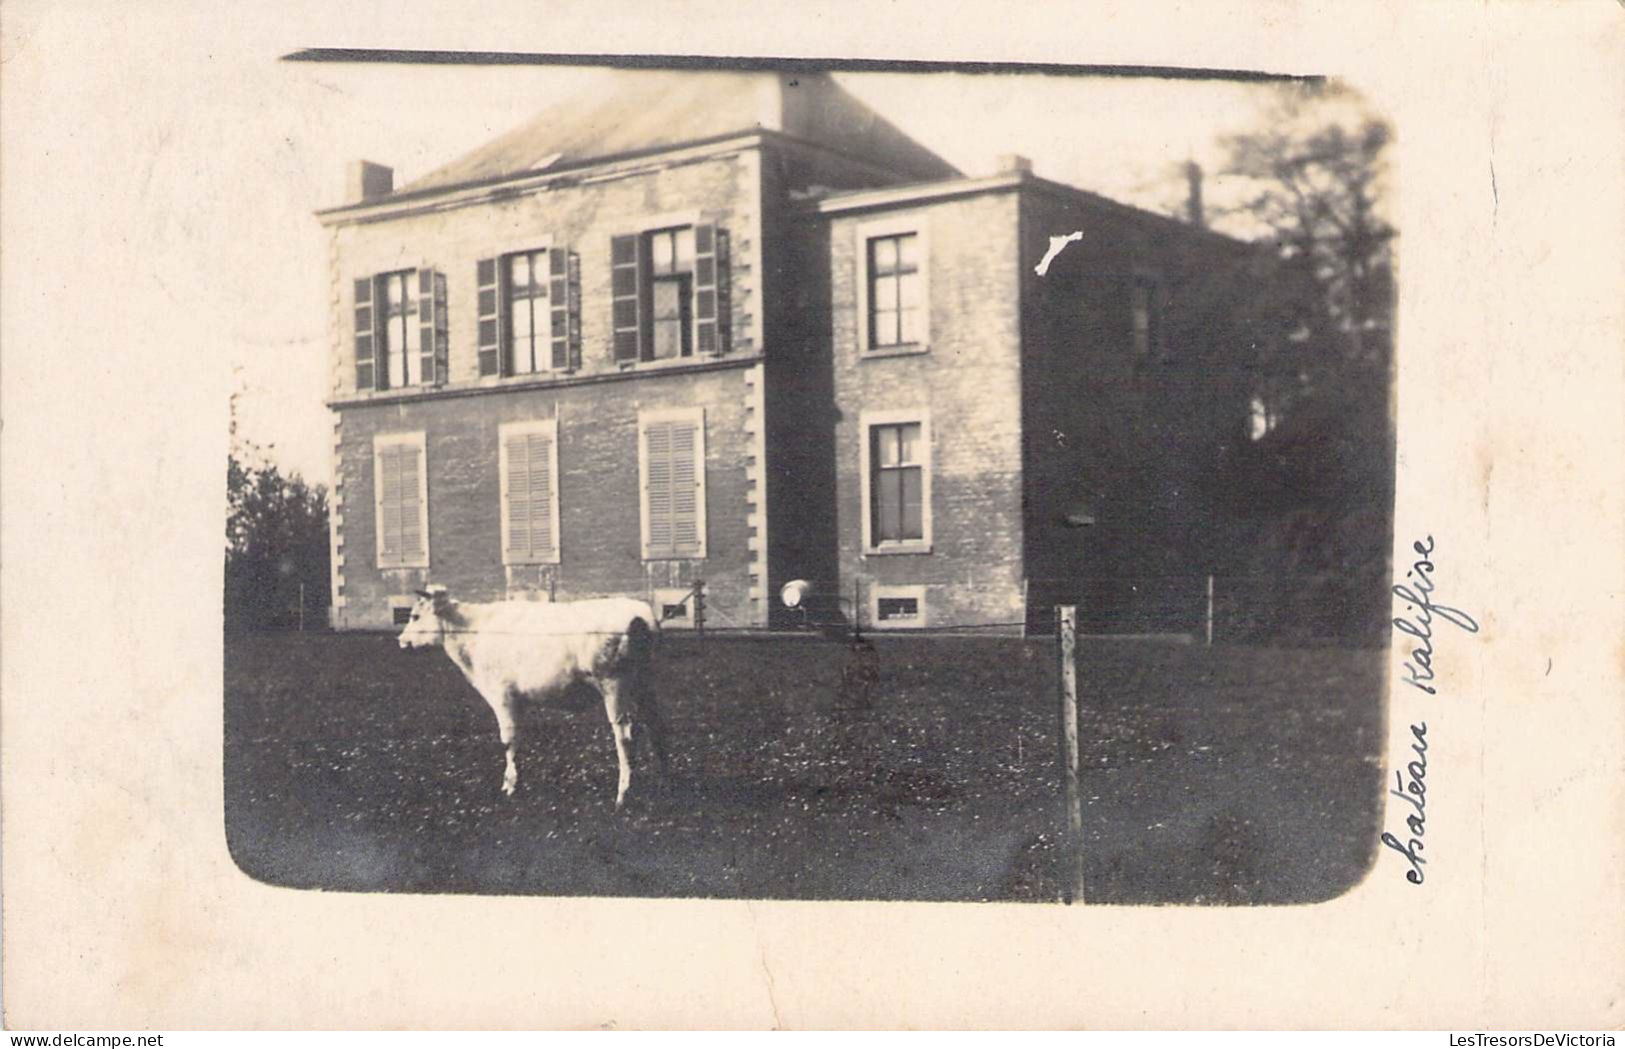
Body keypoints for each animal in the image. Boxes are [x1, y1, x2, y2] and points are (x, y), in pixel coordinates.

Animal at [398, 587, 666, 808]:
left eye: (415, 616)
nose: (400, 640)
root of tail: (638, 612)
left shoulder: (502, 695)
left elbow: (507, 740)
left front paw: (509, 785)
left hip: (614, 685)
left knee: (625, 736)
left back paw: (623, 794)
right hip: (645, 682)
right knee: (655, 725)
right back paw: (662, 779)